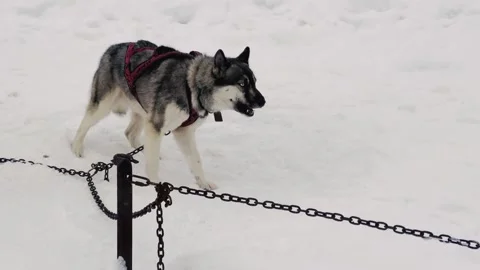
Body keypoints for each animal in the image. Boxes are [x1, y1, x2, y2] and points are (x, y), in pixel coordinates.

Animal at [70, 40, 266, 190]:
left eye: (255, 82)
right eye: (242, 83)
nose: (263, 101)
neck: (192, 87)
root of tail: (114, 47)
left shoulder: (183, 131)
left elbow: (196, 160)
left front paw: (203, 183)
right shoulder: (156, 126)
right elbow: (154, 165)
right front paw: (155, 186)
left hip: (143, 110)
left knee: (131, 133)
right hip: (104, 105)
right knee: (84, 124)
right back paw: (76, 148)